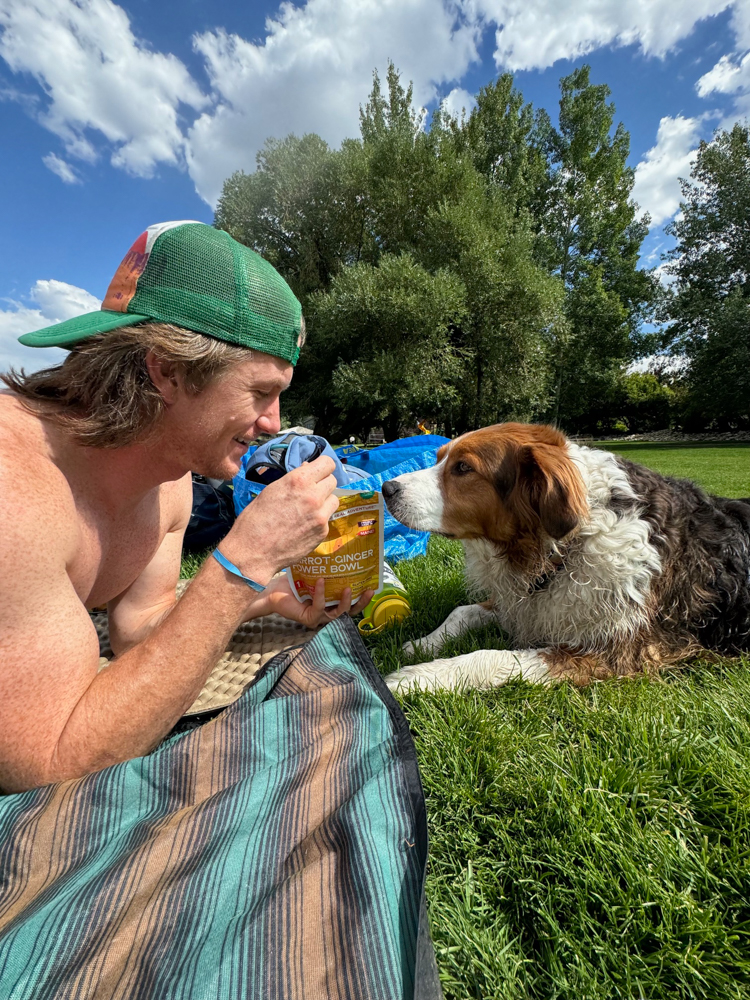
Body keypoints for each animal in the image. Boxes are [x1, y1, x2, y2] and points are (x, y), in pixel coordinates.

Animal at [382, 426, 750, 692]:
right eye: (440, 458)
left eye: (462, 468)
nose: (386, 488)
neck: (572, 540)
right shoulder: (527, 603)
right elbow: (462, 611)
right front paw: (421, 644)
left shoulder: (617, 652)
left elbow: (491, 657)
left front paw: (417, 677)